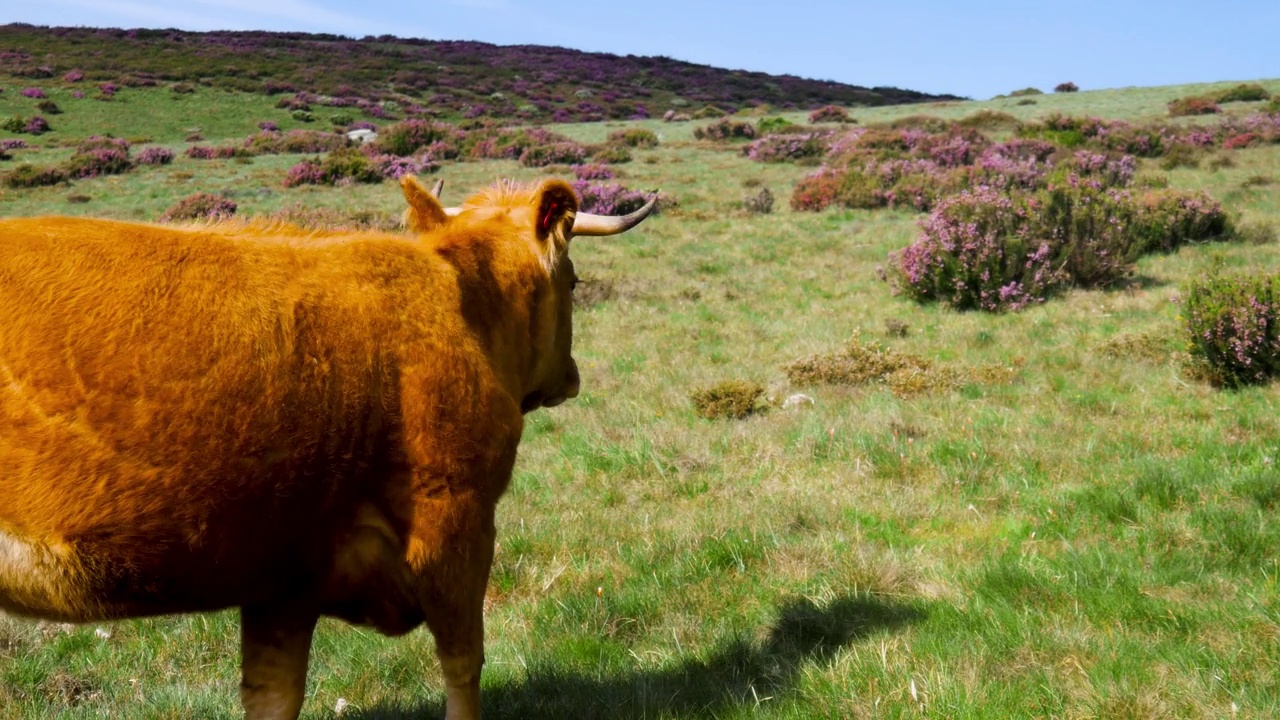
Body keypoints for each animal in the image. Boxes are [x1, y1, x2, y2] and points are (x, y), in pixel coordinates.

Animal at [0, 175, 655, 717]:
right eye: (573, 280)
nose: (572, 377)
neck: (466, 307)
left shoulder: (286, 574)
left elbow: (273, 694)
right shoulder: (455, 521)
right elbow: (464, 664)